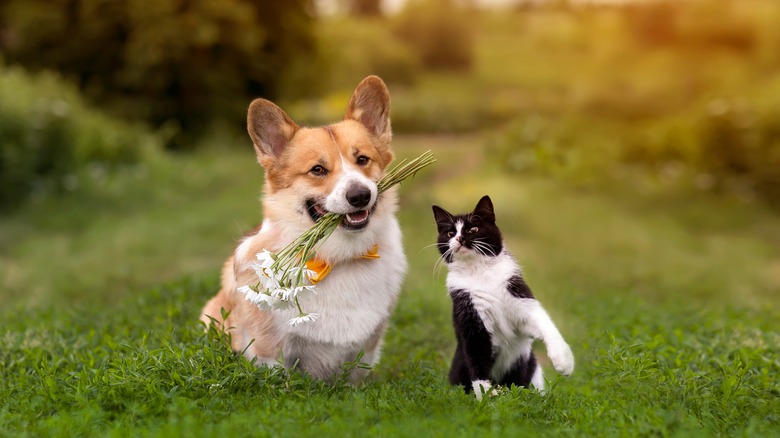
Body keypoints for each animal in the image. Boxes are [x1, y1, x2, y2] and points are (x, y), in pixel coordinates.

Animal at [201, 77, 408, 382]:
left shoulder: (368, 347)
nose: (360, 196)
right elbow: (280, 378)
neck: (338, 258)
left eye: (362, 160)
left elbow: (356, 376)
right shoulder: (270, 349)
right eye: (318, 170)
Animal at [432, 194, 572, 396]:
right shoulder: (469, 312)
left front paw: (564, 361)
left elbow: (544, 322)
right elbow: (476, 354)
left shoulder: (517, 293)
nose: (459, 238)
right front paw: (486, 394)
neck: (480, 271)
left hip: (532, 367)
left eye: (473, 229)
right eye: (450, 233)